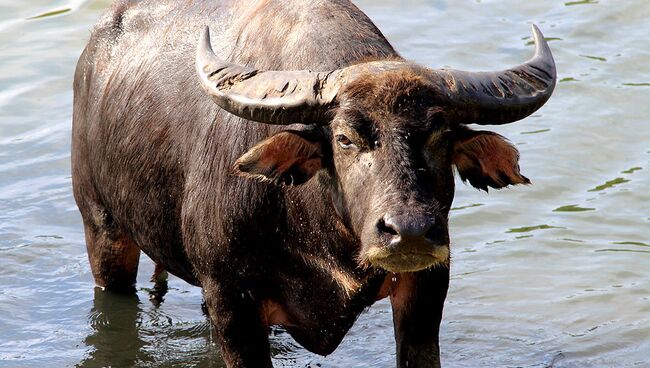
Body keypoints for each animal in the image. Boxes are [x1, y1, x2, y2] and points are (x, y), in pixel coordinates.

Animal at [73, 1, 556, 366]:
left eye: (440, 136)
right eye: (345, 138)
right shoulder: (232, 303)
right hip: (103, 230)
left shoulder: (427, 288)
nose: (411, 232)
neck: (317, 232)